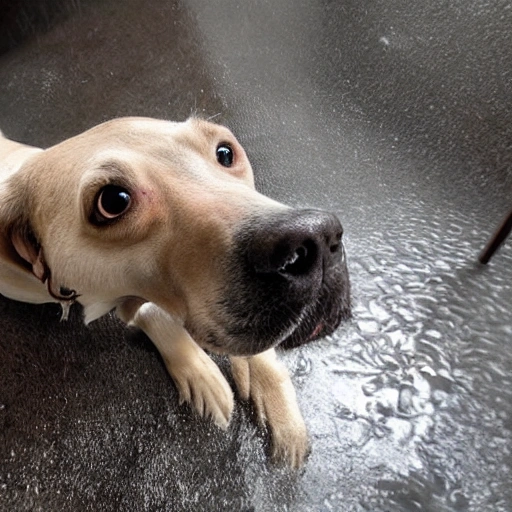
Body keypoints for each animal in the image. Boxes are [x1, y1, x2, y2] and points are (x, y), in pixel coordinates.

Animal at [0, 118, 350, 470]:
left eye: (225, 152)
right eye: (113, 201)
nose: (317, 240)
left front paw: (274, 396)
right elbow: (154, 311)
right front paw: (199, 370)